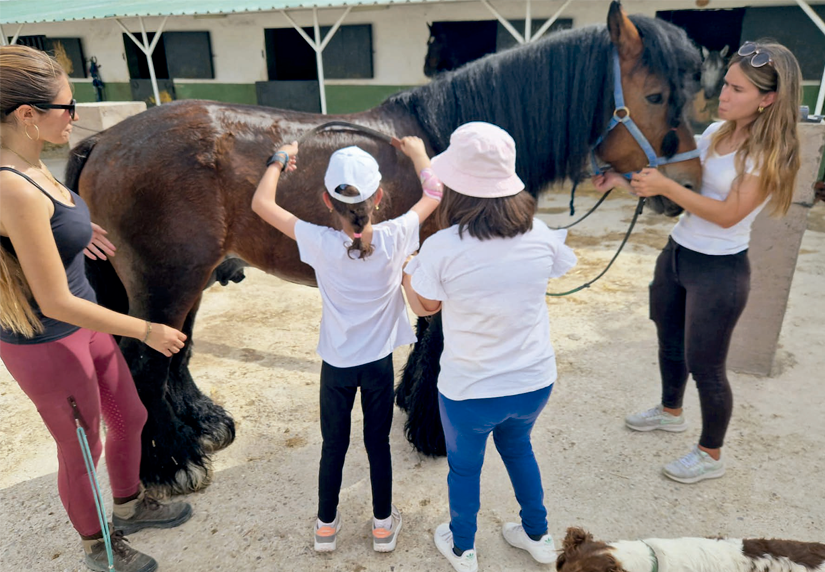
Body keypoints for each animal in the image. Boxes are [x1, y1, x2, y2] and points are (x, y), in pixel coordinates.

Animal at [66, 0, 700, 494]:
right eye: (655, 94)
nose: (686, 188)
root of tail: (103, 139)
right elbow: (440, 346)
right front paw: (435, 432)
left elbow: (424, 343)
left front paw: (410, 405)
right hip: (169, 279)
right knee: (147, 364)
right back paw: (170, 464)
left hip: (186, 280)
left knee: (175, 354)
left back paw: (202, 427)